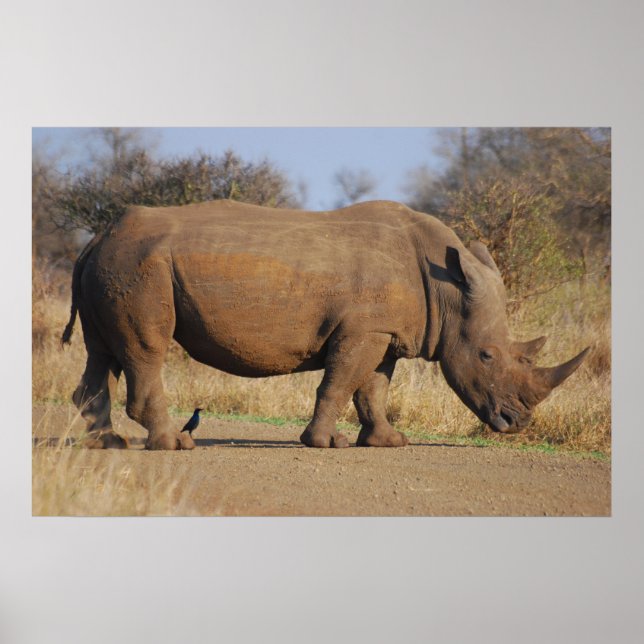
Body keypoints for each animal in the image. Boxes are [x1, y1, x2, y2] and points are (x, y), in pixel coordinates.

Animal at [62, 199, 588, 450]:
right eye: (486, 355)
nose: (517, 424)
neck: (448, 289)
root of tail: (97, 237)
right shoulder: (364, 331)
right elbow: (340, 384)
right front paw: (323, 443)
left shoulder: (383, 332)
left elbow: (372, 390)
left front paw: (387, 442)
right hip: (138, 267)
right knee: (146, 351)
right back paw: (175, 446)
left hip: (114, 266)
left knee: (101, 352)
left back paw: (107, 445)